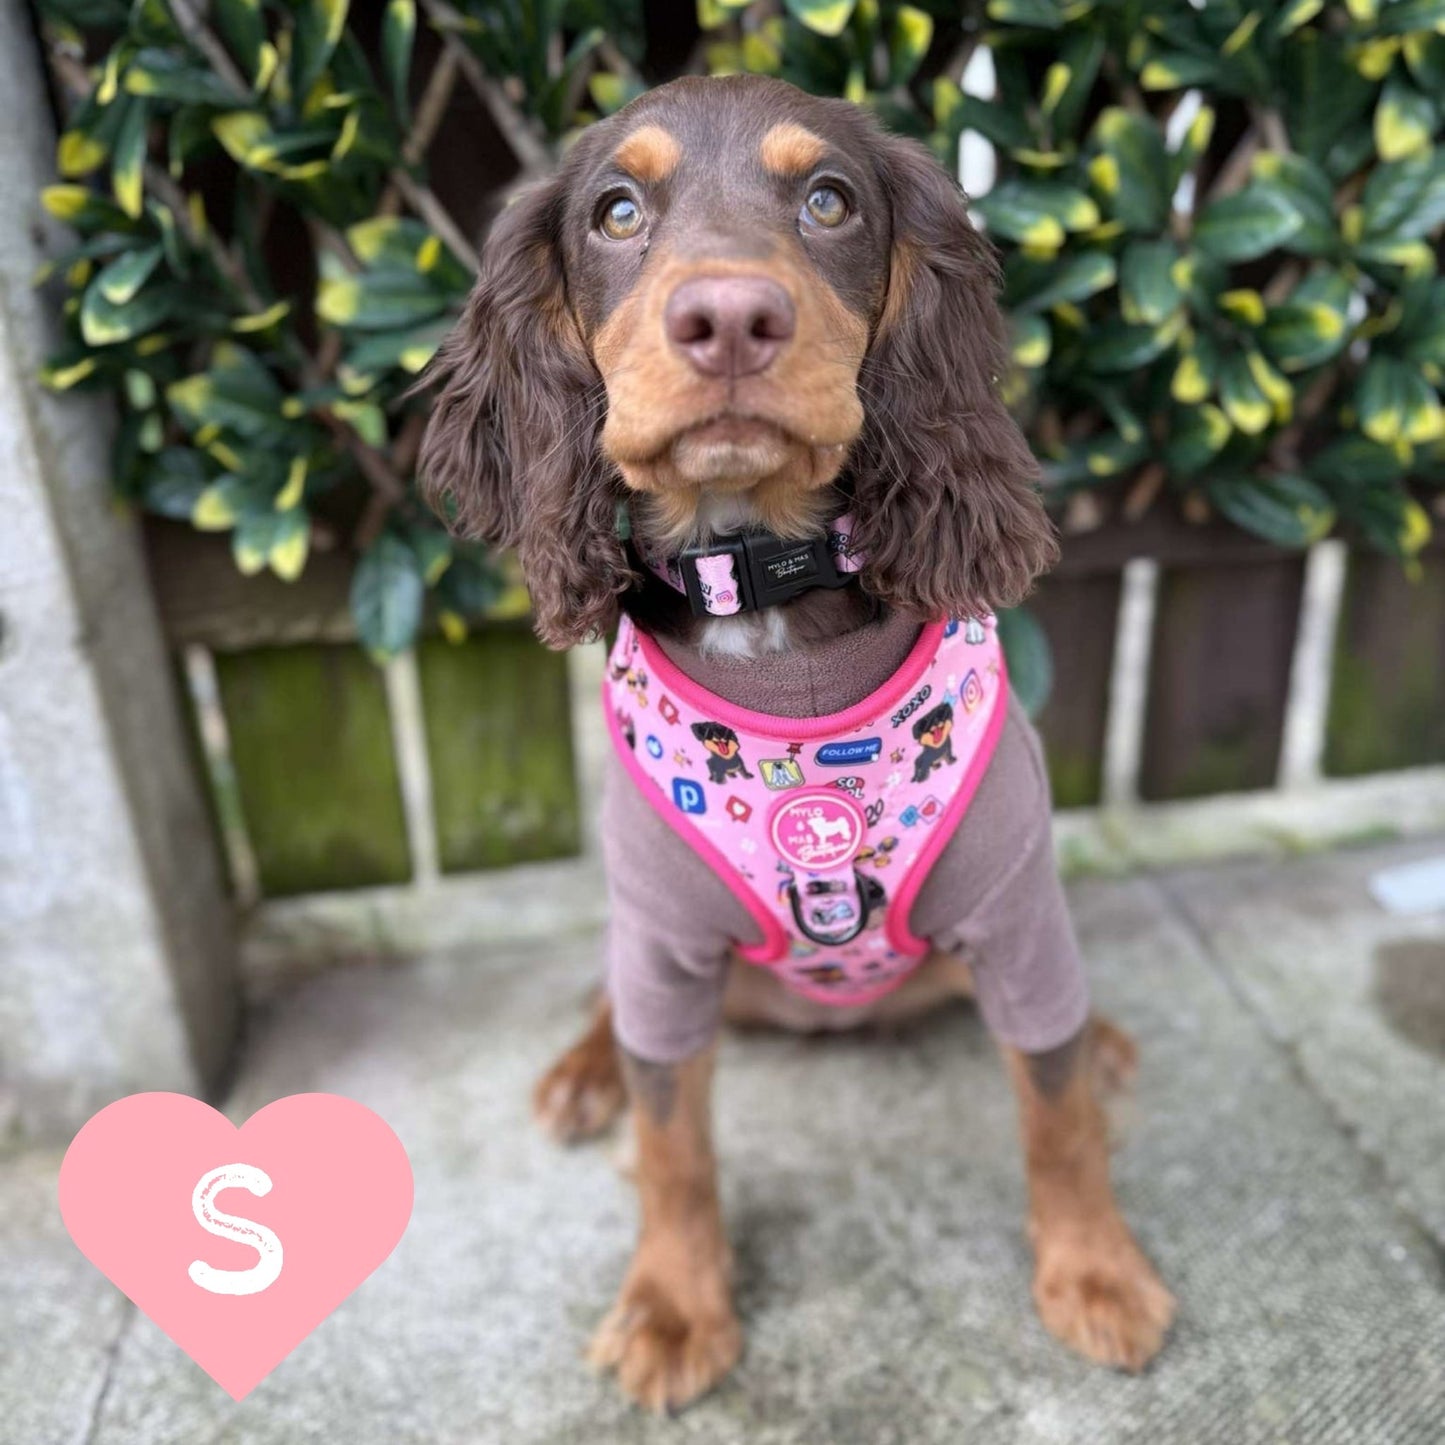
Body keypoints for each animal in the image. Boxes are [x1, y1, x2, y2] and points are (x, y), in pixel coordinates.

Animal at [421, 76, 1173, 1410]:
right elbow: (672, 1138)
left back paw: (1109, 1041)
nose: (728, 317)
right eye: (615, 211)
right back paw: (581, 1072)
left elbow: (1052, 1101)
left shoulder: (1017, 912)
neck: (766, 594)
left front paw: (1094, 1268)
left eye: (828, 200)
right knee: (608, 1012)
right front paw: (675, 1305)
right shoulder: (663, 945)